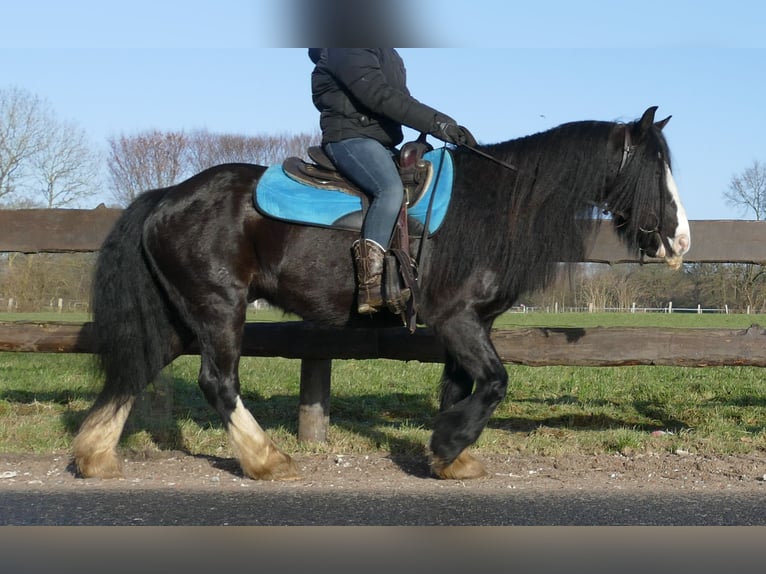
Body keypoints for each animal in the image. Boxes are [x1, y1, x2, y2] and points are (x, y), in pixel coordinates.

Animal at [75, 107, 692, 482]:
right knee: (218, 382)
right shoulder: (458, 320)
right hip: (219, 307)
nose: (680, 239)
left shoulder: (468, 325)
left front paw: (451, 456)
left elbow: (459, 387)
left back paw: (94, 455)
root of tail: (165, 196)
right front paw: (447, 445)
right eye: (652, 166)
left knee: (139, 365)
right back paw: (267, 459)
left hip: (182, 315)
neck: (494, 204)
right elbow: (495, 383)